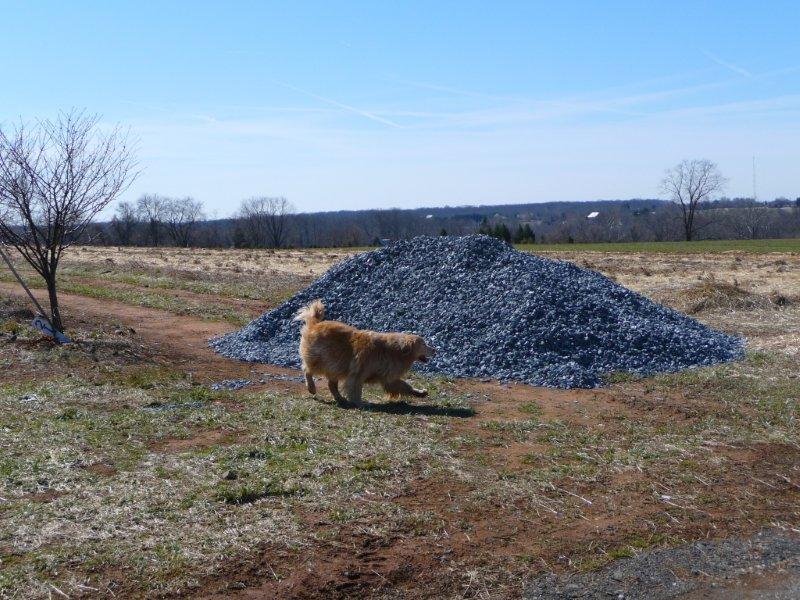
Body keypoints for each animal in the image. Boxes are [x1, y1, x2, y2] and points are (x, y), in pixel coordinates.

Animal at [294, 300, 434, 408]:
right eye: (424, 344)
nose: (435, 350)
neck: (394, 351)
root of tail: (315, 324)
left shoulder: (388, 377)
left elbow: (404, 385)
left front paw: (419, 392)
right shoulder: (357, 374)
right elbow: (356, 389)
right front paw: (360, 403)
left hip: (335, 365)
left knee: (331, 385)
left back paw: (340, 399)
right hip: (321, 360)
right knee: (307, 370)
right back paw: (311, 387)